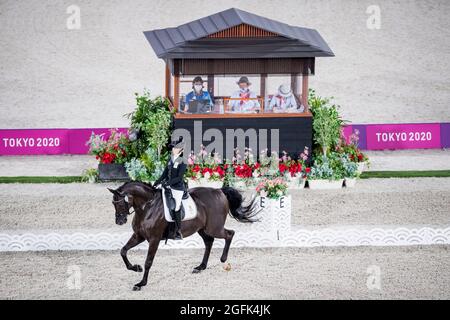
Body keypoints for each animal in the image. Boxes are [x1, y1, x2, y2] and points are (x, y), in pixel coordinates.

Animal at [107, 181, 258, 292]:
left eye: (120, 202)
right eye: (113, 203)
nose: (119, 221)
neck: (147, 207)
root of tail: (219, 191)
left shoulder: (154, 239)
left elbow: (148, 261)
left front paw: (141, 283)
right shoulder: (139, 236)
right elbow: (123, 251)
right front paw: (136, 268)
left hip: (214, 228)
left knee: (229, 234)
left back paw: (223, 259)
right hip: (202, 229)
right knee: (209, 241)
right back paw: (201, 267)